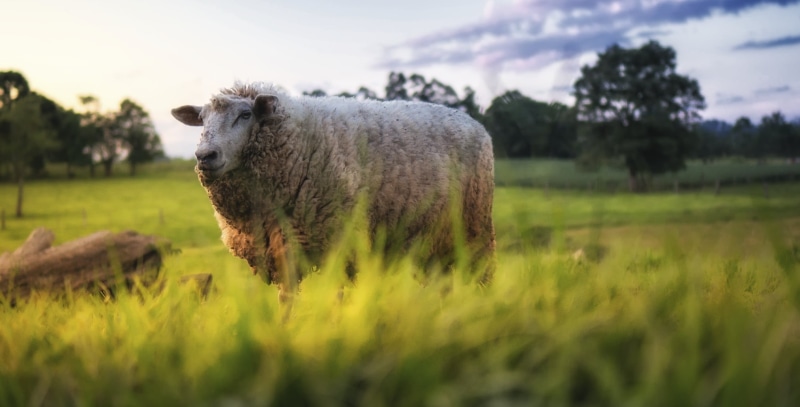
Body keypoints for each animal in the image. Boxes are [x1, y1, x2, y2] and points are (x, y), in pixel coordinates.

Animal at [171, 82, 495, 299]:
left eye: (245, 115)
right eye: (202, 120)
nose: (205, 156)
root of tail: (475, 122)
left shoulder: (339, 238)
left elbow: (337, 295)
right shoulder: (282, 248)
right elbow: (287, 299)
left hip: (475, 227)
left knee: (481, 276)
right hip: (431, 239)